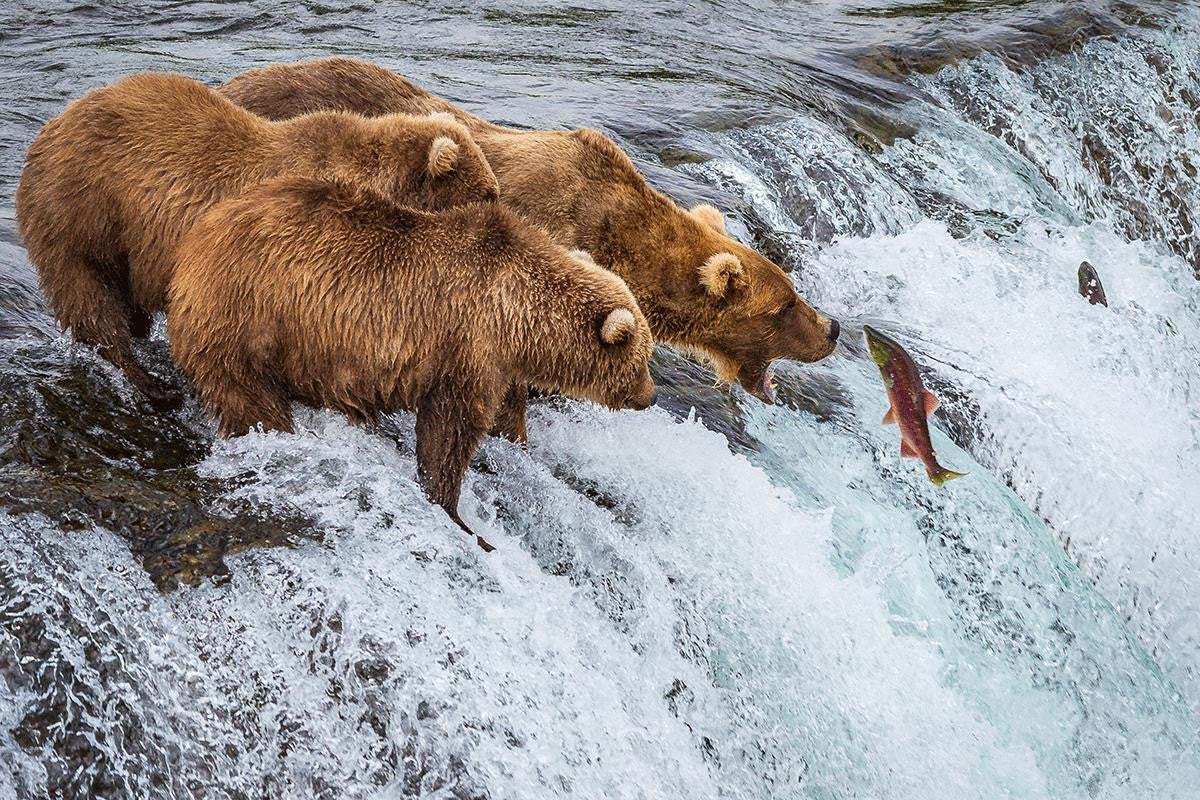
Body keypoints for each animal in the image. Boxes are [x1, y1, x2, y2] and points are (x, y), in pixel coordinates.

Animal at [15, 71, 499, 410]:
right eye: (488, 193)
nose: (501, 209)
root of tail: (50, 127)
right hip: (82, 211)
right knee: (89, 298)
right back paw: (152, 383)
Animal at [167, 175, 657, 551]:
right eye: (643, 359)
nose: (650, 396)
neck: (518, 315)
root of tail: (194, 241)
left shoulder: (499, 364)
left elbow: (504, 416)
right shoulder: (467, 345)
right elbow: (449, 432)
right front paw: (459, 516)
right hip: (247, 319)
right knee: (249, 398)